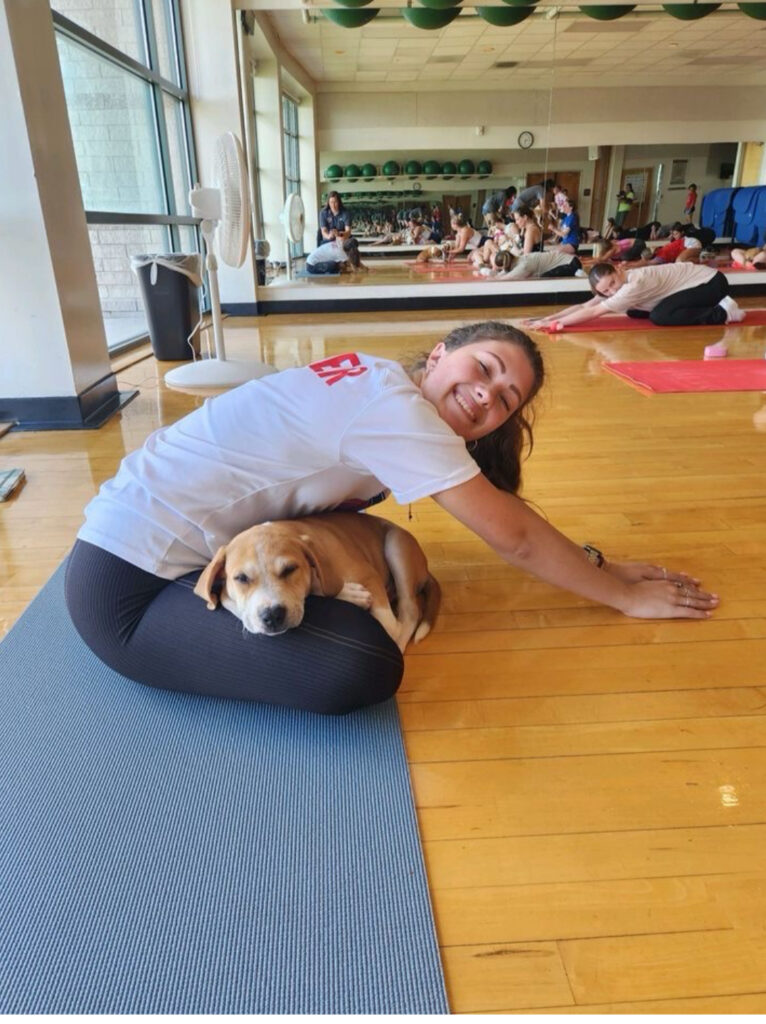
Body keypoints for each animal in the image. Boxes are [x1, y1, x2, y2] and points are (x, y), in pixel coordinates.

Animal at [193, 512, 440, 653]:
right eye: (241, 578)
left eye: (290, 569)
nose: (272, 616)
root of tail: (425, 568)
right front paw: (350, 594)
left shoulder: (369, 575)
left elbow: (388, 624)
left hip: (396, 546)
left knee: (410, 612)